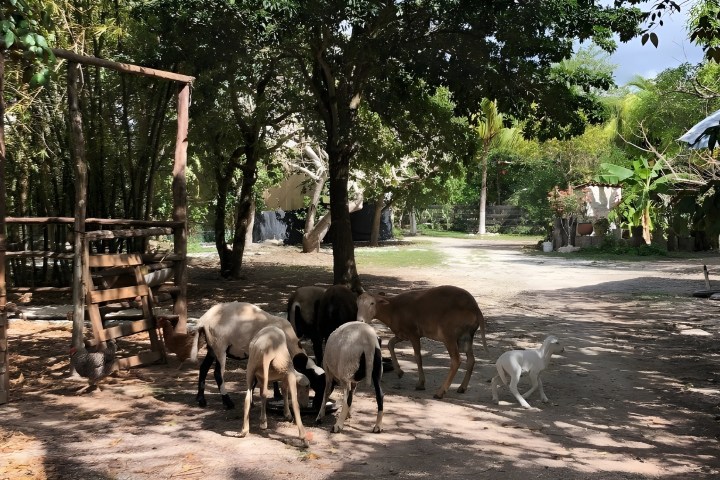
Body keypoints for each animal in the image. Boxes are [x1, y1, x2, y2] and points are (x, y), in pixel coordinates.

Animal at [190, 302, 326, 410]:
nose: (316, 405)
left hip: (212, 347)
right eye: (313, 383)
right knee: (217, 374)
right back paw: (228, 402)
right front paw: (252, 401)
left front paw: (277, 394)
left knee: (203, 368)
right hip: (220, 346)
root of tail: (203, 320)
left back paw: (201, 399)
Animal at [356, 285, 486, 399]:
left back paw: (440, 392)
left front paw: (420, 384)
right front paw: (399, 372)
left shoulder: (413, 333)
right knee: (471, 360)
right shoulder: (402, 334)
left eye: (372, 303)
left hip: (449, 336)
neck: (393, 309)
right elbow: (390, 344)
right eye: (357, 304)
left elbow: (418, 357)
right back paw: (462, 387)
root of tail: (475, 308)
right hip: (467, 337)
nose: (360, 320)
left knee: (456, 361)